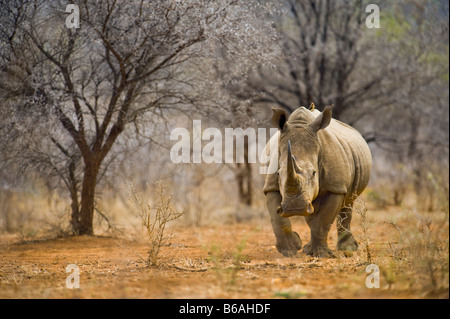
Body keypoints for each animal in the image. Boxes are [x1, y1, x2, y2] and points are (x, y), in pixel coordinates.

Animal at [264, 106, 372, 258]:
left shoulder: (336, 188)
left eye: (314, 173)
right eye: (278, 173)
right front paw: (289, 250)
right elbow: (278, 219)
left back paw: (348, 249)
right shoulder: (271, 186)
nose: (294, 208)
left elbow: (323, 221)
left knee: (348, 202)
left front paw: (320, 254)